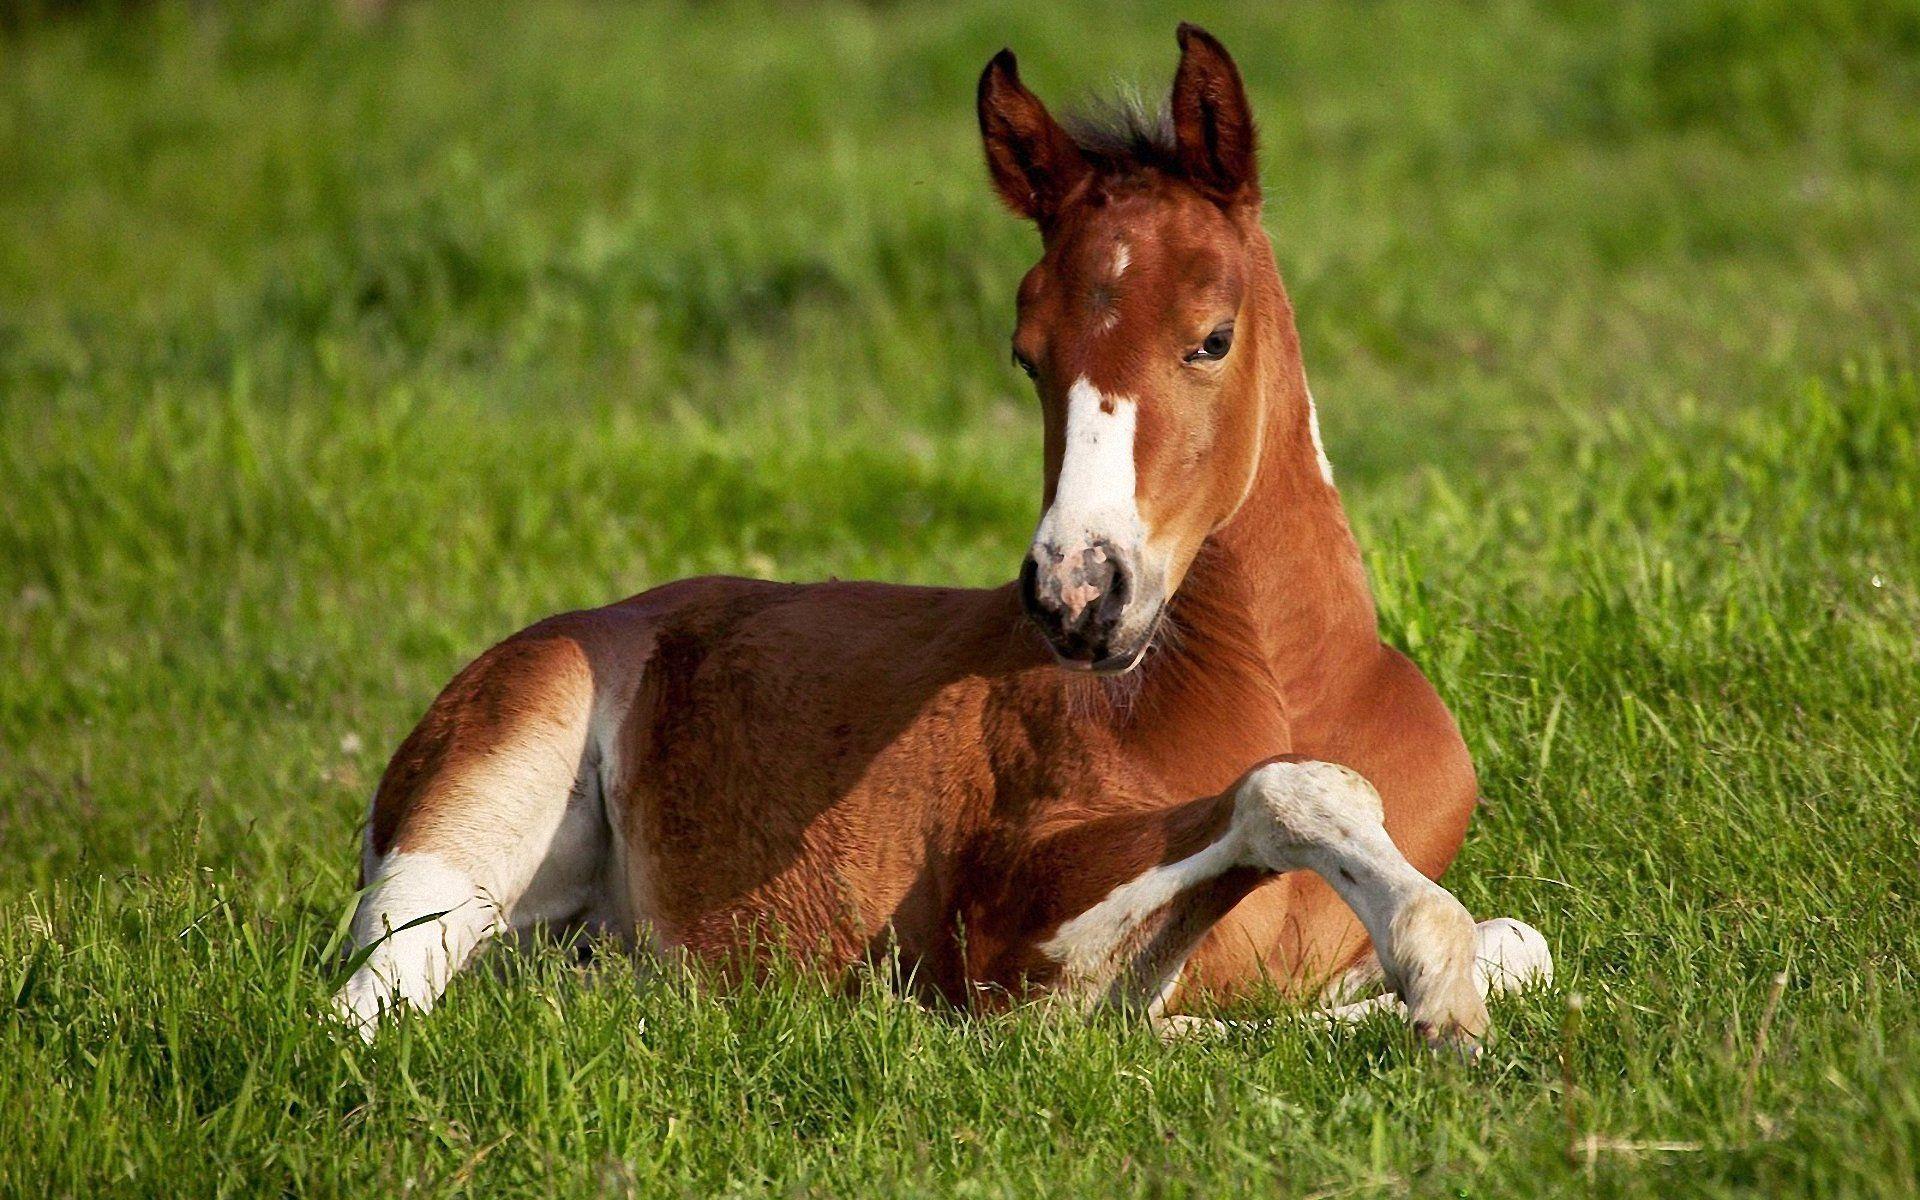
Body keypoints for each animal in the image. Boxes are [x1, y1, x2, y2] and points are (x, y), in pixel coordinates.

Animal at [333, 24, 1551, 1047]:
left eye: (1212, 337)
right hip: (477, 807)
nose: (1077, 594)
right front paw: (1434, 981)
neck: (1289, 686)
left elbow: (1523, 944)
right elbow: (1279, 808)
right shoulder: (1002, 929)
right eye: (1027, 354)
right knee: (366, 1006)